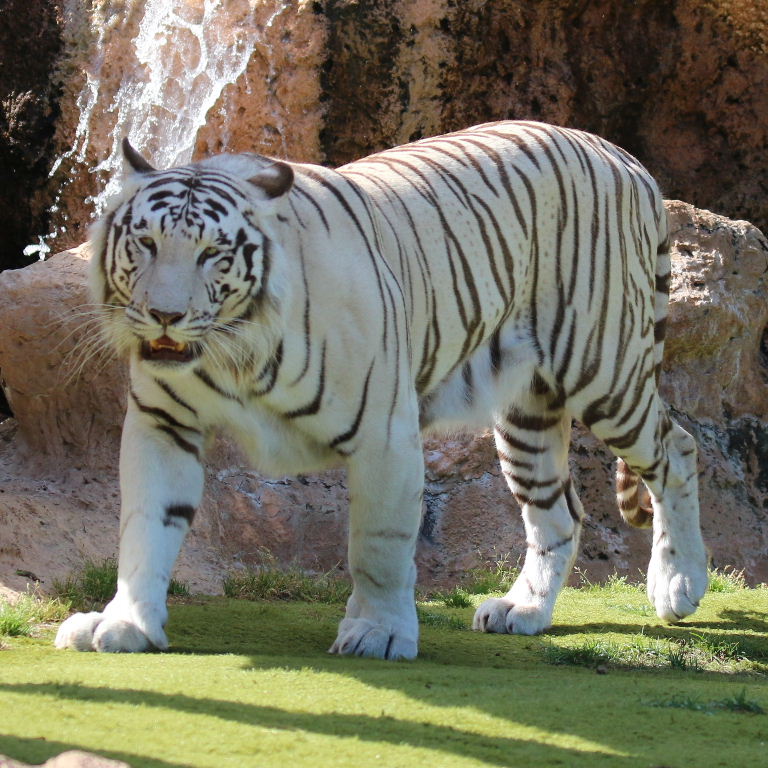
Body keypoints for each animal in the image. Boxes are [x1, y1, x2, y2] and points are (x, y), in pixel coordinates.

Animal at [55, 120, 708, 659]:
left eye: (213, 254)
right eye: (145, 243)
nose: (163, 315)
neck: (232, 355)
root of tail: (623, 156)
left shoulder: (384, 434)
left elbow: (379, 545)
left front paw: (380, 634)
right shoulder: (162, 423)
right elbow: (145, 526)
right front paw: (127, 623)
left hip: (605, 370)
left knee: (677, 450)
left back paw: (679, 585)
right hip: (528, 414)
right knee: (559, 514)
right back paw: (523, 609)